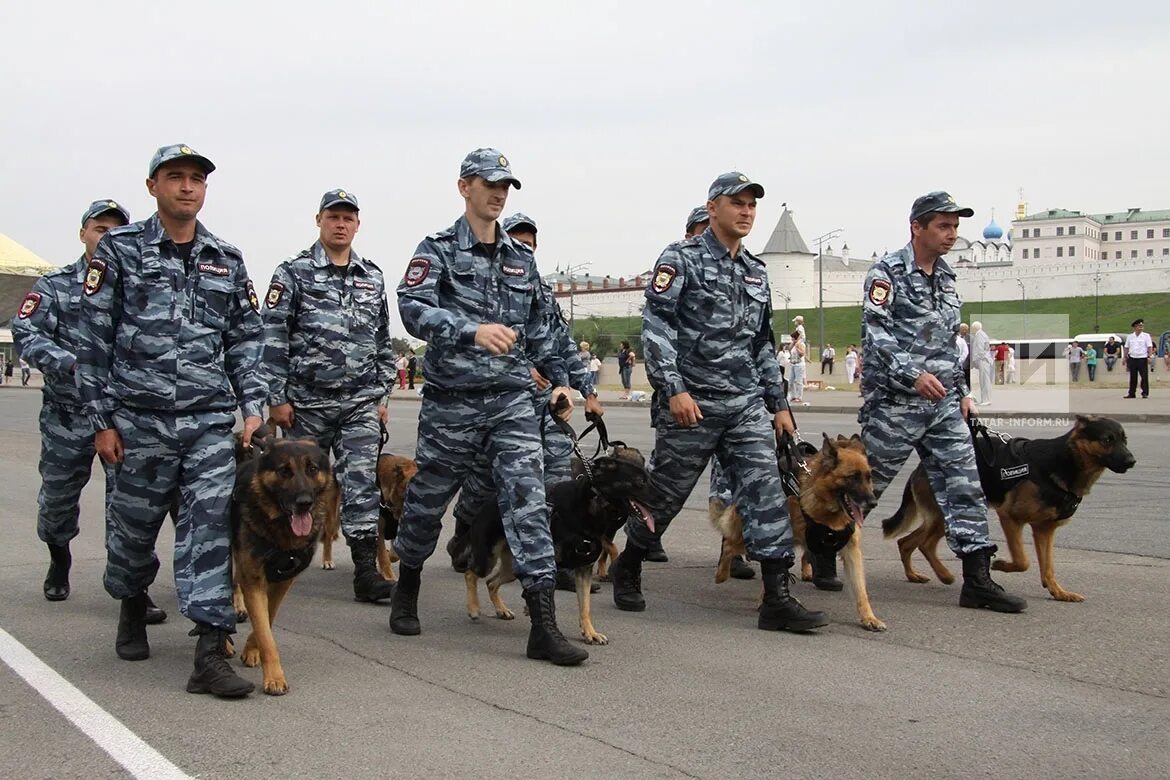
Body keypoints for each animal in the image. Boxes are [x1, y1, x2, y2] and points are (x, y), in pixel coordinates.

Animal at [229, 437, 336, 696]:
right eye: (284, 471)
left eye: (312, 469)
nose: (304, 503)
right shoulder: (254, 580)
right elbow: (266, 635)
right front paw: (275, 678)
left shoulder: (283, 581)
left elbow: (267, 618)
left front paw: (252, 650)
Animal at [467, 444, 669, 645]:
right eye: (640, 482)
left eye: (648, 478)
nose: (667, 499)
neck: (593, 504)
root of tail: (493, 500)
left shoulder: (584, 569)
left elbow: (585, 605)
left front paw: (590, 632)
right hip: (487, 559)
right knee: (471, 573)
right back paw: (473, 608)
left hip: (513, 568)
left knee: (491, 582)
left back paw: (501, 610)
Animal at [706, 437, 879, 631]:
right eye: (852, 477)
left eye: (868, 477)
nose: (873, 503)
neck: (825, 507)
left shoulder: (851, 551)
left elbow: (860, 589)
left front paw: (869, 617)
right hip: (750, 536)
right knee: (729, 544)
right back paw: (722, 574)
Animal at [884, 413, 1132, 603]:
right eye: (1107, 439)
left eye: (1124, 440)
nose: (1132, 461)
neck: (1064, 461)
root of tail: (919, 467)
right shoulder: (1010, 517)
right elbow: (1023, 561)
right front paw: (1002, 565)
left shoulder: (1045, 530)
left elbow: (1048, 567)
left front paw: (1058, 592)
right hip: (946, 516)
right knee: (923, 544)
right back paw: (945, 576)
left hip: (938, 519)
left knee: (906, 542)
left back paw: (914, 575)